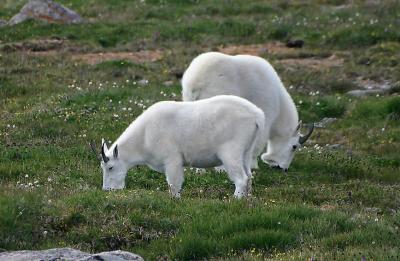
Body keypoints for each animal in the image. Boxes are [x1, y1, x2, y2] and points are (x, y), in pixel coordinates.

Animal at [91, 94, 266, 197]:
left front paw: (175, 200)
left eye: (110, 167)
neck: (144, 137)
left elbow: (173, 184)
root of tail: (257, 115)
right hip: (246, 151)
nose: (108, 190)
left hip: (231, 152)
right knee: (249, 176)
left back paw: (235, 199)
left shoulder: (172, 159)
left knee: (241, 178)